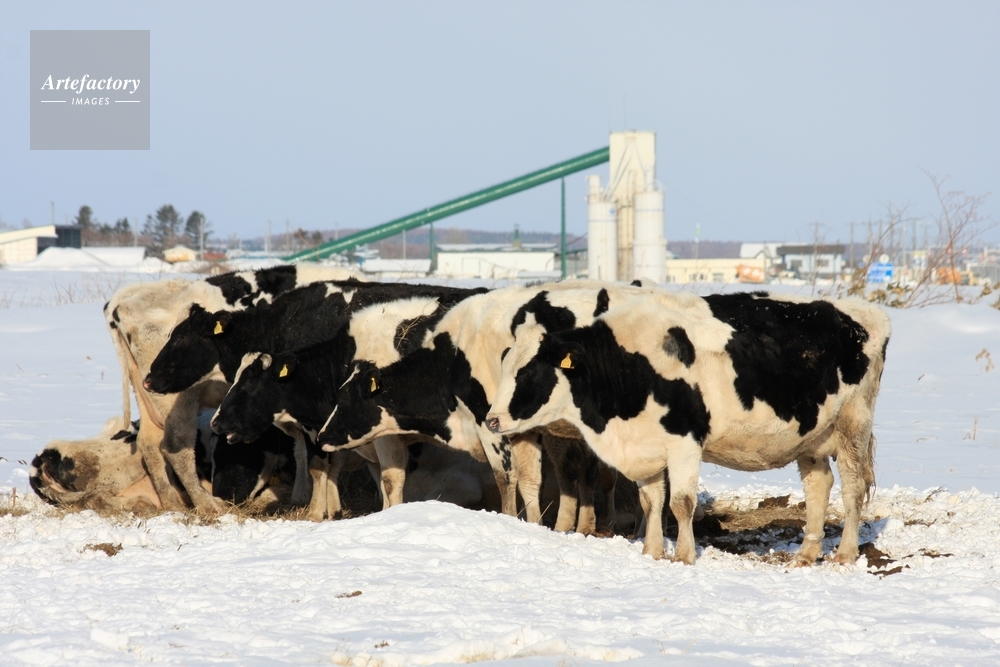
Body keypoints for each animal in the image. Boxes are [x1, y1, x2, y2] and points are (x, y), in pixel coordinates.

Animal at [104, 264, 362, 514]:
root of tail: (125, 298)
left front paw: (304, 497)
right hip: (177, 399)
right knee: (176, 447)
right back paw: (207, 504)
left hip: (146, 396)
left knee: (149, 445)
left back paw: (172, 503)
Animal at [316, 282, 659, 530]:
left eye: (345, 399)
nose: (321, 436)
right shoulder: (523, 430)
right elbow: (531, 480)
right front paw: (535, 525)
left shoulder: (487, 424)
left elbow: (504, 478)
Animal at [484, 290, 891, 566]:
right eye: (506, 367)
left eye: (529, 373)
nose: (492, 419)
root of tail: (866, 312)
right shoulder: (647, 443)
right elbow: (651, 501)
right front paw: (651, 551)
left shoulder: (684, 441)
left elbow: (680, 503)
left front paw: (683, 555)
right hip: (812, 436)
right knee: (819, 486)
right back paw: (806, 553)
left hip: (853, 423)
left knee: (853, 487)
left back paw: (845, 554)